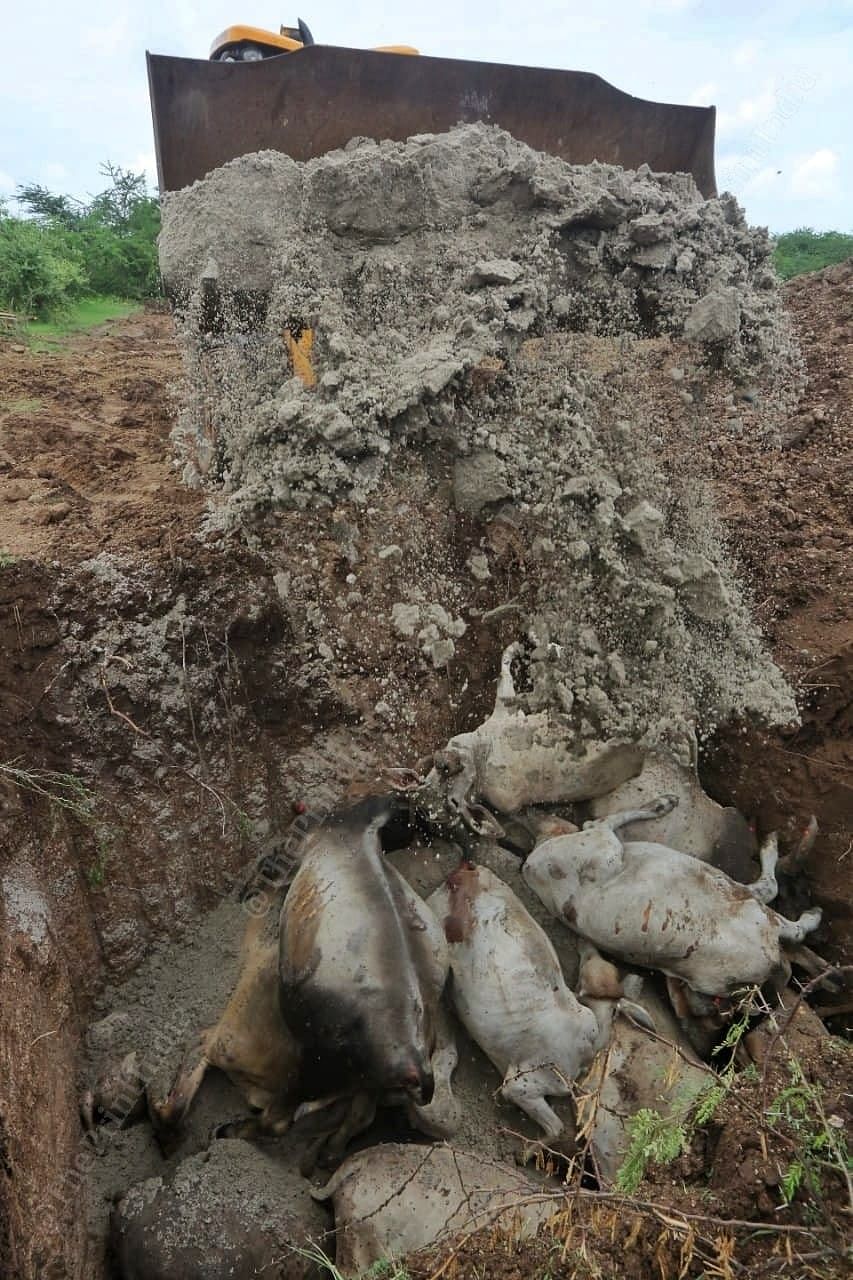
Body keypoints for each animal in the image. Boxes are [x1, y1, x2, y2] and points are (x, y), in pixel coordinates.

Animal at [522, 798, 819, 998]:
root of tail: (532, 865)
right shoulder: (747, 903)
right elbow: (772, 891)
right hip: (604, 849)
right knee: (599, 823)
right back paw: (662, 804)